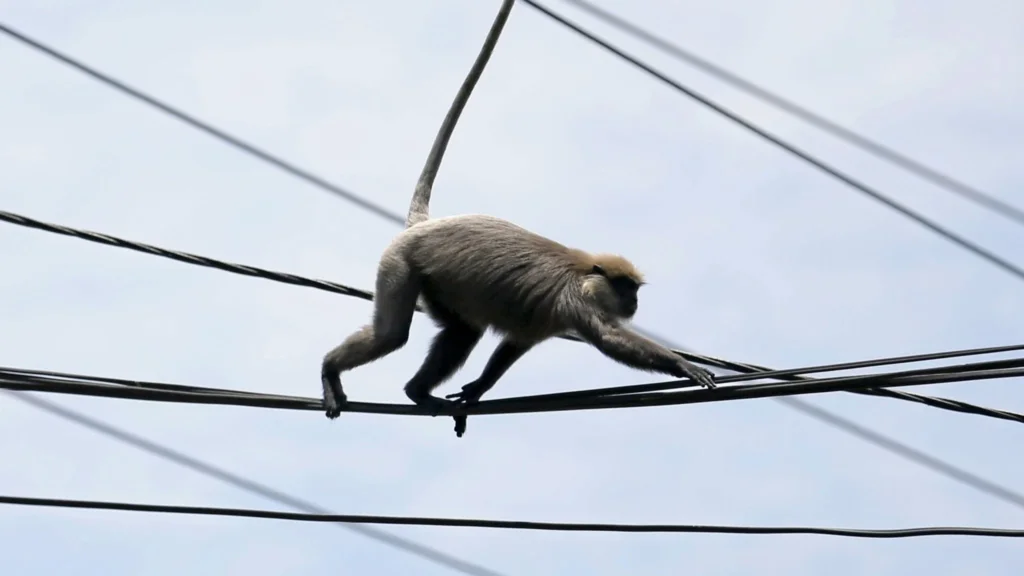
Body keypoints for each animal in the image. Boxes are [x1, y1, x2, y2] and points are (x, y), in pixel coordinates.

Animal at [320, 0, 716, 423]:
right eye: (626, 288)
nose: (634, 303)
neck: (585, 275)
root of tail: (426, 224)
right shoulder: (575, 301)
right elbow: (609, 338)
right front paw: (682, 365)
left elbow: (515, 344)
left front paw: (477, 389)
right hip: (399, 261)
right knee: (393, 334)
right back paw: (331, 370)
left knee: (462, 332)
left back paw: (417, 392)